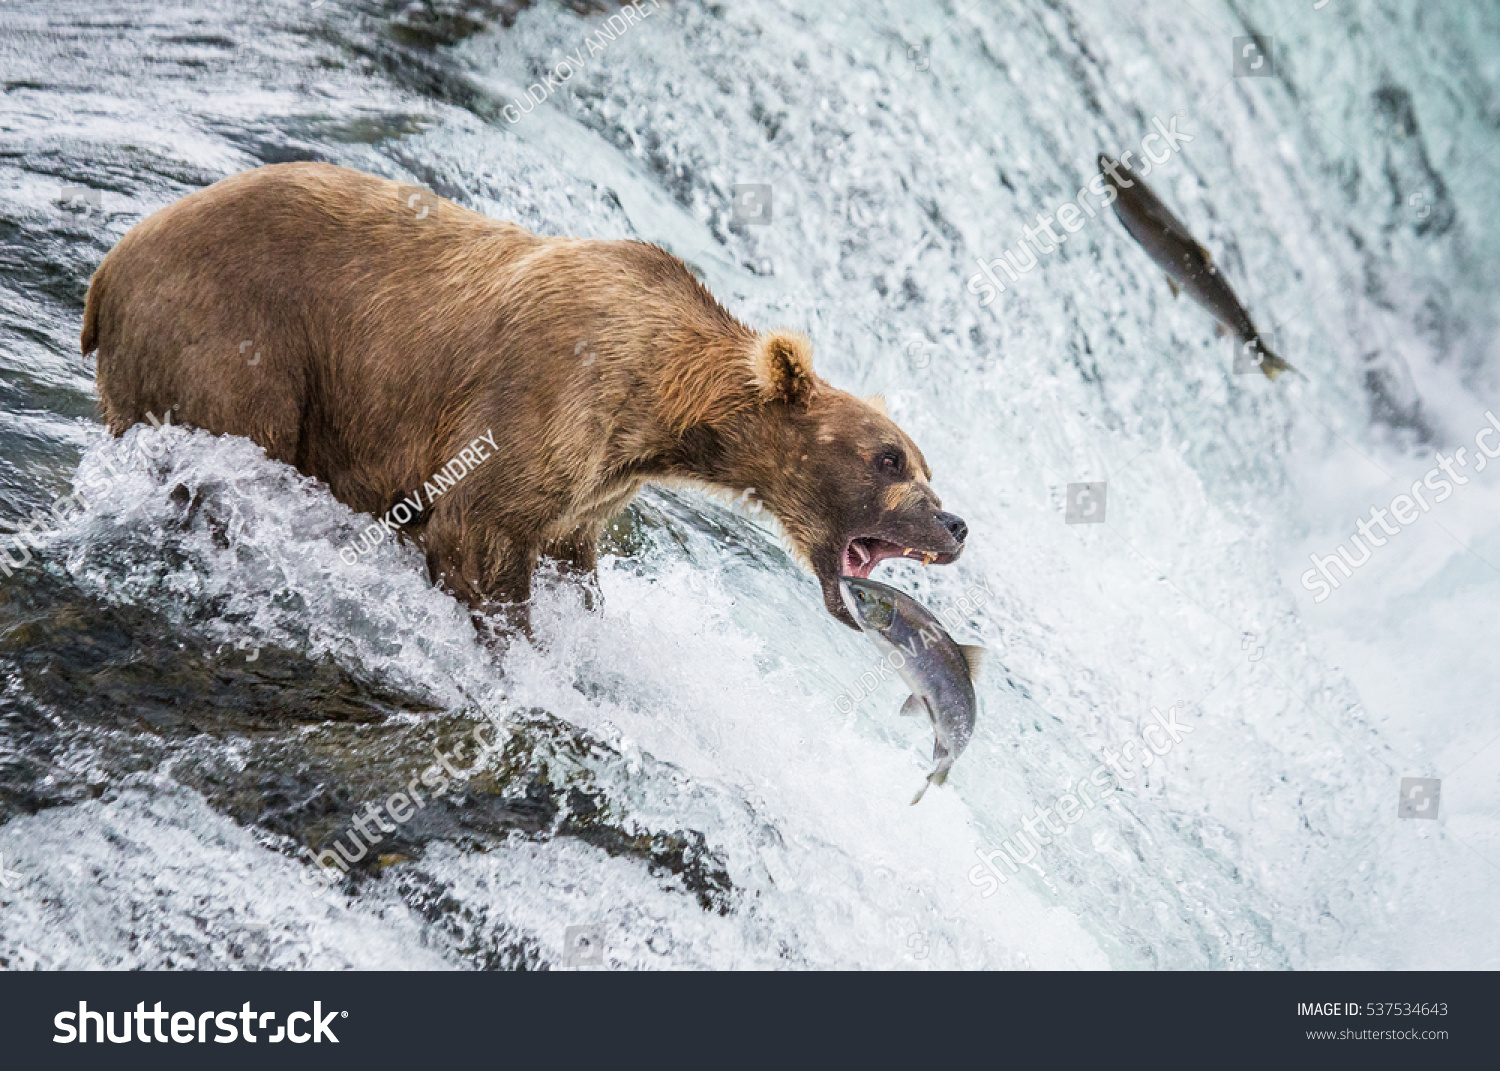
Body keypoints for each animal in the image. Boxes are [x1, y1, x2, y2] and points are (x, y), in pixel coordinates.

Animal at [87, 160, 966, 627]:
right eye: (890, 458)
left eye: (925, 462)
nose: (955, 523)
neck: (660, 404)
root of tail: (110, 265)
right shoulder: (550, 396)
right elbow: (479, 532)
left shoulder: (596, 487)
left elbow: (572, 560)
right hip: (237, 342)